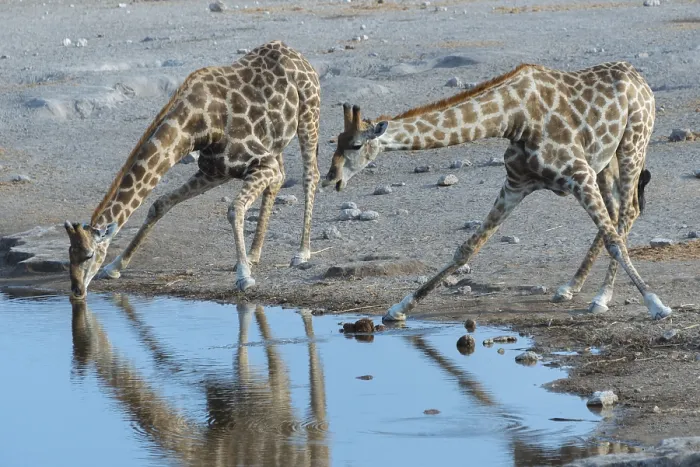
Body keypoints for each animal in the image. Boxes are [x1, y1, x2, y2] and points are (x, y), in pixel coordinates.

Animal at [64, 41, 321, 301]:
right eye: (69, 254)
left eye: (88, 255)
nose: (76, 290)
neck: (194, 126)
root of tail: (296, 54)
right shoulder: (214, 171)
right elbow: (160, 204)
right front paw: (115, 266)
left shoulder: (261, 163)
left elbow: (235, 208)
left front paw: (244, 277)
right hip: (276, 139)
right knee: (280, 179)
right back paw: (254, 254)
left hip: (309, 115)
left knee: (311, 176)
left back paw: (302, 252)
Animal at [323, 61, 672, 322]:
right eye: (336, 141)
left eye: (355, 145)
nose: (330, 179)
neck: (513, 118)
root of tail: (640, 80)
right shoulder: (515, 184)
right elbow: (467, 248)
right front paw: (400, 307)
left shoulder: (579, 174)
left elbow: (614, 241)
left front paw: (656, 304)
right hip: (605, 161)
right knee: (616, 212)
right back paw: (571, 286)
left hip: (633, 144)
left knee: (627, 212)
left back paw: (601, 296)